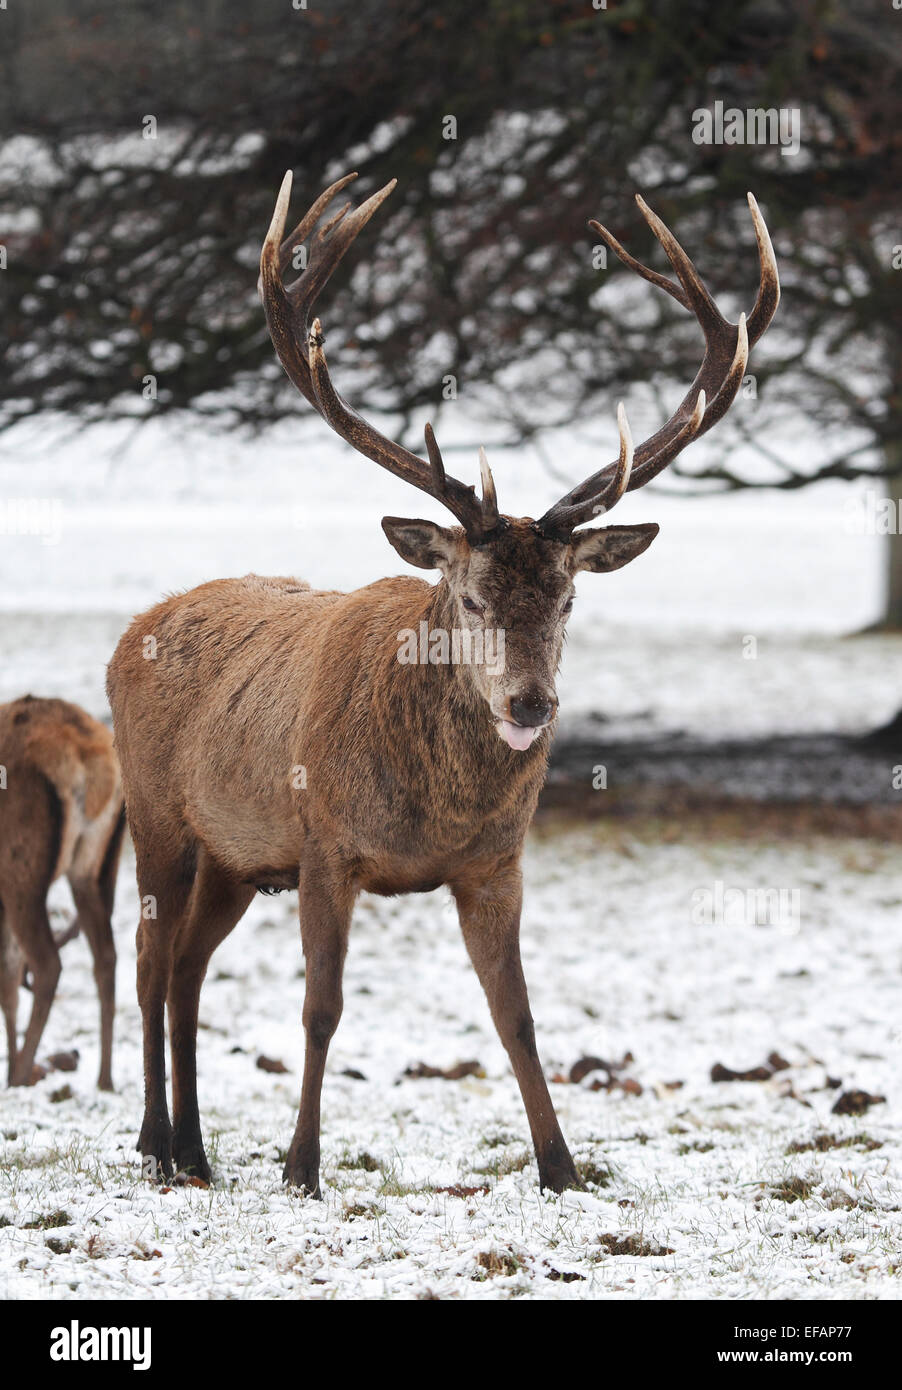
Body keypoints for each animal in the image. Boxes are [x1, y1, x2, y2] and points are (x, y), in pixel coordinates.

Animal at [0, 695, 125, 1084]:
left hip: (20, 871)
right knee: (107, 957)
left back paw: (21, 1073)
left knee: (47, 964)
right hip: (94, 869)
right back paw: (104, 1078)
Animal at [109, 170, 778, 1195]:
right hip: (159, 819)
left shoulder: (496, 863)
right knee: (149, 962)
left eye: (570, 597)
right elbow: (321, 1009)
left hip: (237, 857)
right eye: (469, 595)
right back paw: (152, 1142)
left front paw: (562, 1168)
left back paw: (194, 1151)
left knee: (187, 970)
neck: (432, 814)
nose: (530, 703)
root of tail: (132, 632)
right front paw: (302, 1167)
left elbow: (518, 1016)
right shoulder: (325, 843)